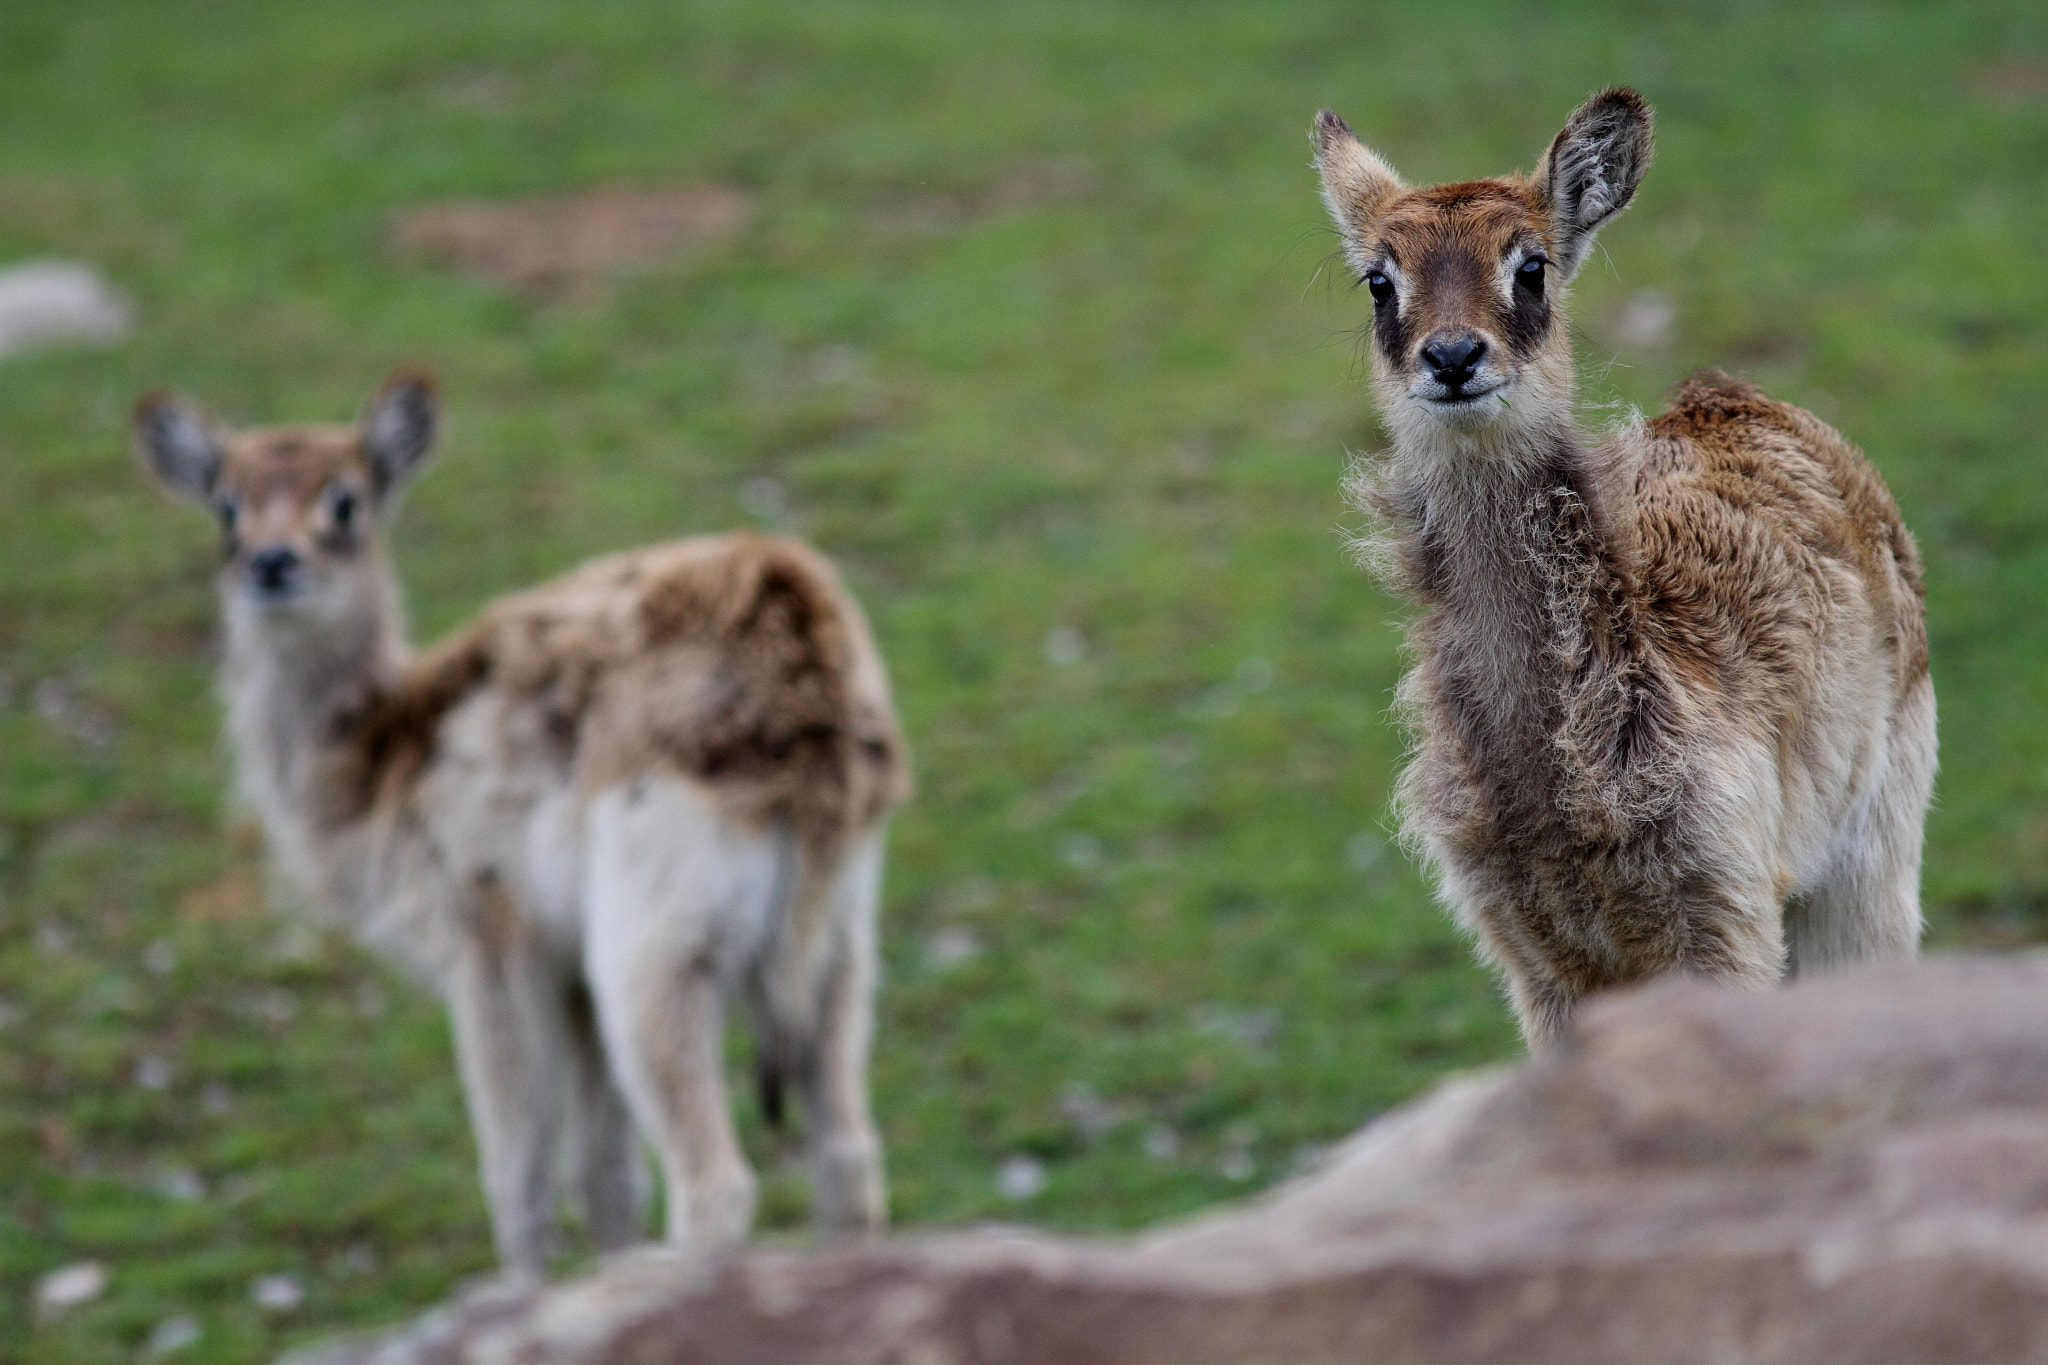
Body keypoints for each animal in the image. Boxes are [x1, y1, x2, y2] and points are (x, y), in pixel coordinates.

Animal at [140, 376, 909, 1268]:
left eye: (346, 501)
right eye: (225, 506)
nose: (272, 562)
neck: (367, 764)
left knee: (717, 1179)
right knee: (848, 1152)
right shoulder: (568, 970)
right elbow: (604, 1172)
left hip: (655, 944)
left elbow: (516, 1176)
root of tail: (828, 727)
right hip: (843, 943)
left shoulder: (485, 936)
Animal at [1310, 87, 1933, 1047]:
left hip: (1875, 852)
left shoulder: (1727, 909)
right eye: (1380, 280)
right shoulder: (1530, 953)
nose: (1453, 356)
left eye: (1531, 267)